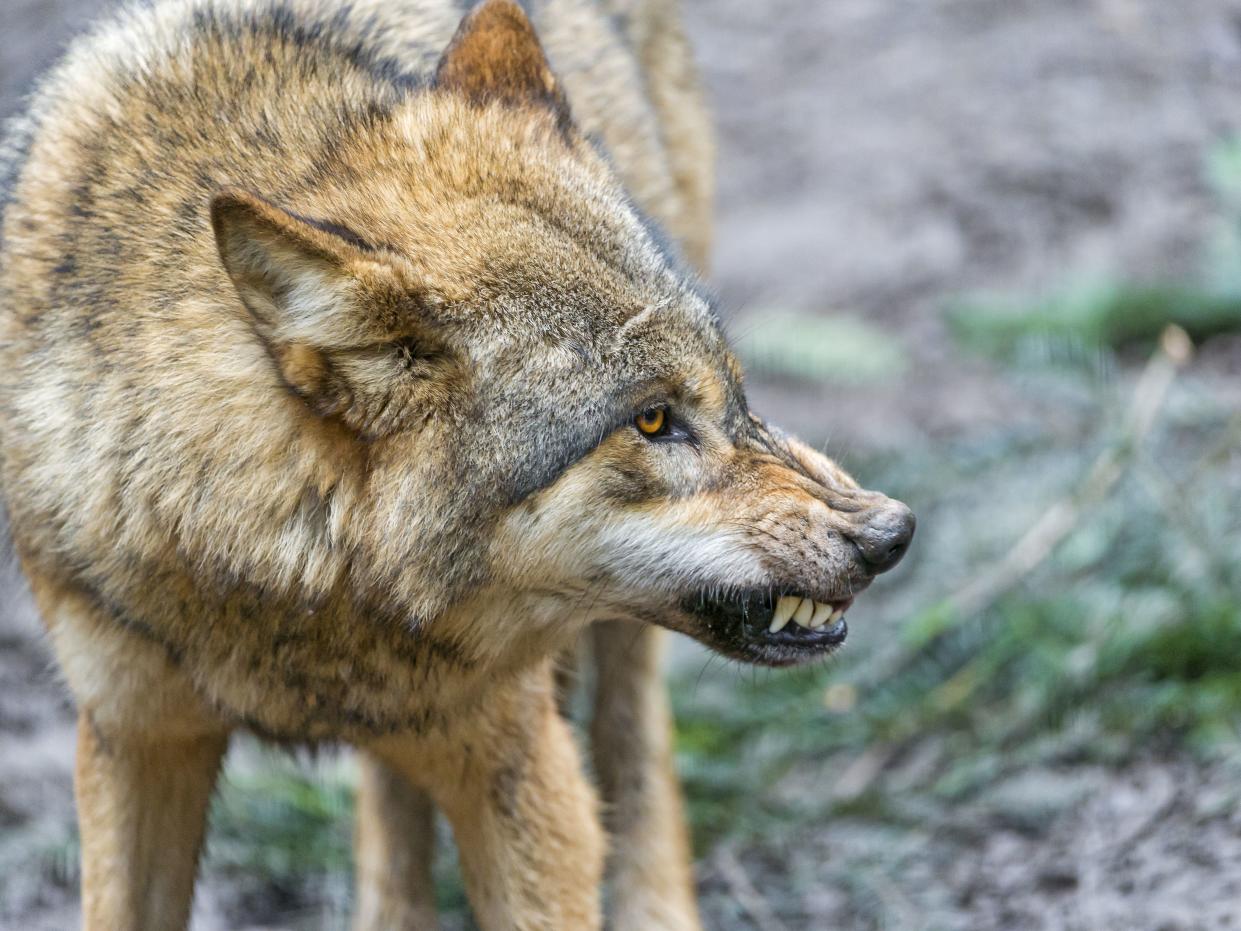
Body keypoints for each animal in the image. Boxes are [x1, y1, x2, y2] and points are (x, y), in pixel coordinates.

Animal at [0, 0, 913, 928]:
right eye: (653, 419)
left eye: (732, 391)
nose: (890, 531)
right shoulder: (130, 739)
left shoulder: (523, 769)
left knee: (634, 741)